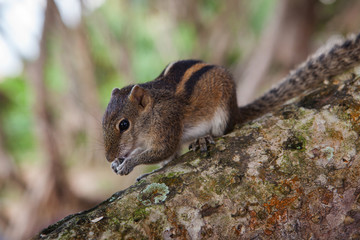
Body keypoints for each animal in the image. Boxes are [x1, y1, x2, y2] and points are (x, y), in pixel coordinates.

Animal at [101, 32, 360, 174]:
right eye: (103, 122)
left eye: (124, 124)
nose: (107, 157)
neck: (151, 113)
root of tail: (236, 110)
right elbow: (161, 154)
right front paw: (119, 162)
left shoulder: (167, 125)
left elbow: (160, 151)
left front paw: (128, 164)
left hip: (223, 110)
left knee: (223, 131)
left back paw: (205, 138)